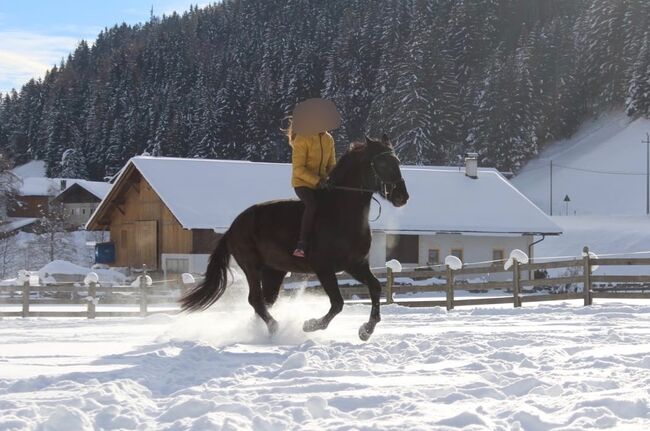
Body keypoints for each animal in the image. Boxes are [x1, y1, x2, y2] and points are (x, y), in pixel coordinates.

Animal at [180, 135, 408, 340]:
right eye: (382, 162)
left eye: (397, 161)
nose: (402, 197)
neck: (340, 214)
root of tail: (233, 227)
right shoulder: (323, 268)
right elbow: (337, 303)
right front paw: (310, 325)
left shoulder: (356, 265)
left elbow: (375, 287)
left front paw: (366, 330)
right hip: (252, 266)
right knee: (255, 300)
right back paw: (274, 328)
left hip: (274, 271)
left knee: (264, 301)